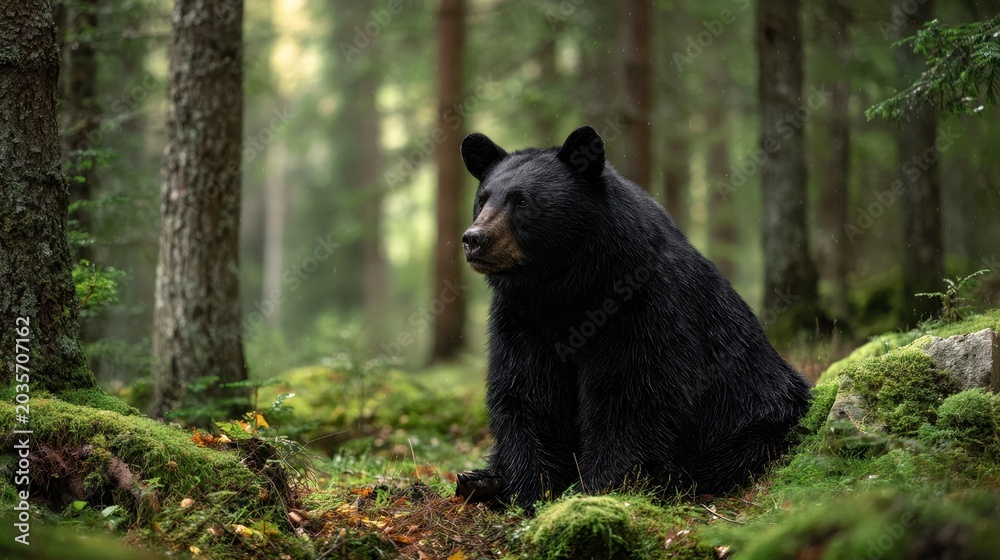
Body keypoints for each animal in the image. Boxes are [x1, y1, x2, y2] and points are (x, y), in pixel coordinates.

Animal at [454, 125, 813, 512]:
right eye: (483, 198)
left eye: (522, 201)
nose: (474, 239)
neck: (565, 289)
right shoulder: (522, 321)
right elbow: (527, 392)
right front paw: (530, 489)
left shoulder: (641, 310)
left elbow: (631, 395)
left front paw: (594, 487)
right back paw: (481, 480)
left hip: (756, 413)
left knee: (731, 452)